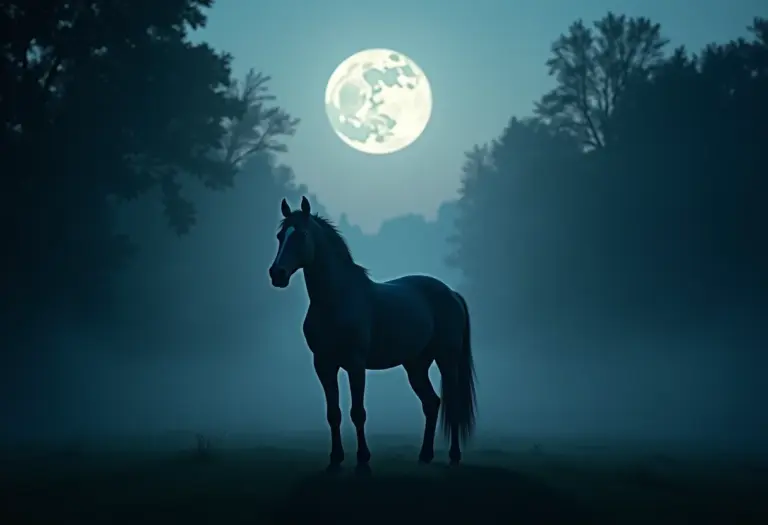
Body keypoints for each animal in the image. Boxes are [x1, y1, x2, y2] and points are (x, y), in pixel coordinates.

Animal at [268, 196, 477, 470]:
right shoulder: (323, 365)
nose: (277, 274)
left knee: (451, 404)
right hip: (416, 365)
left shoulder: (356, 365)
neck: (337, 300)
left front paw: (363, 460)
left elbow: (358, 413)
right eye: (280, 235)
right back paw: (425, 455)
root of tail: (451, 293)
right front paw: (335, 459)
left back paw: (453, 456)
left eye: (301, 234)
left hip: (447, 360)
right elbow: (333, 413)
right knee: (431, 403)